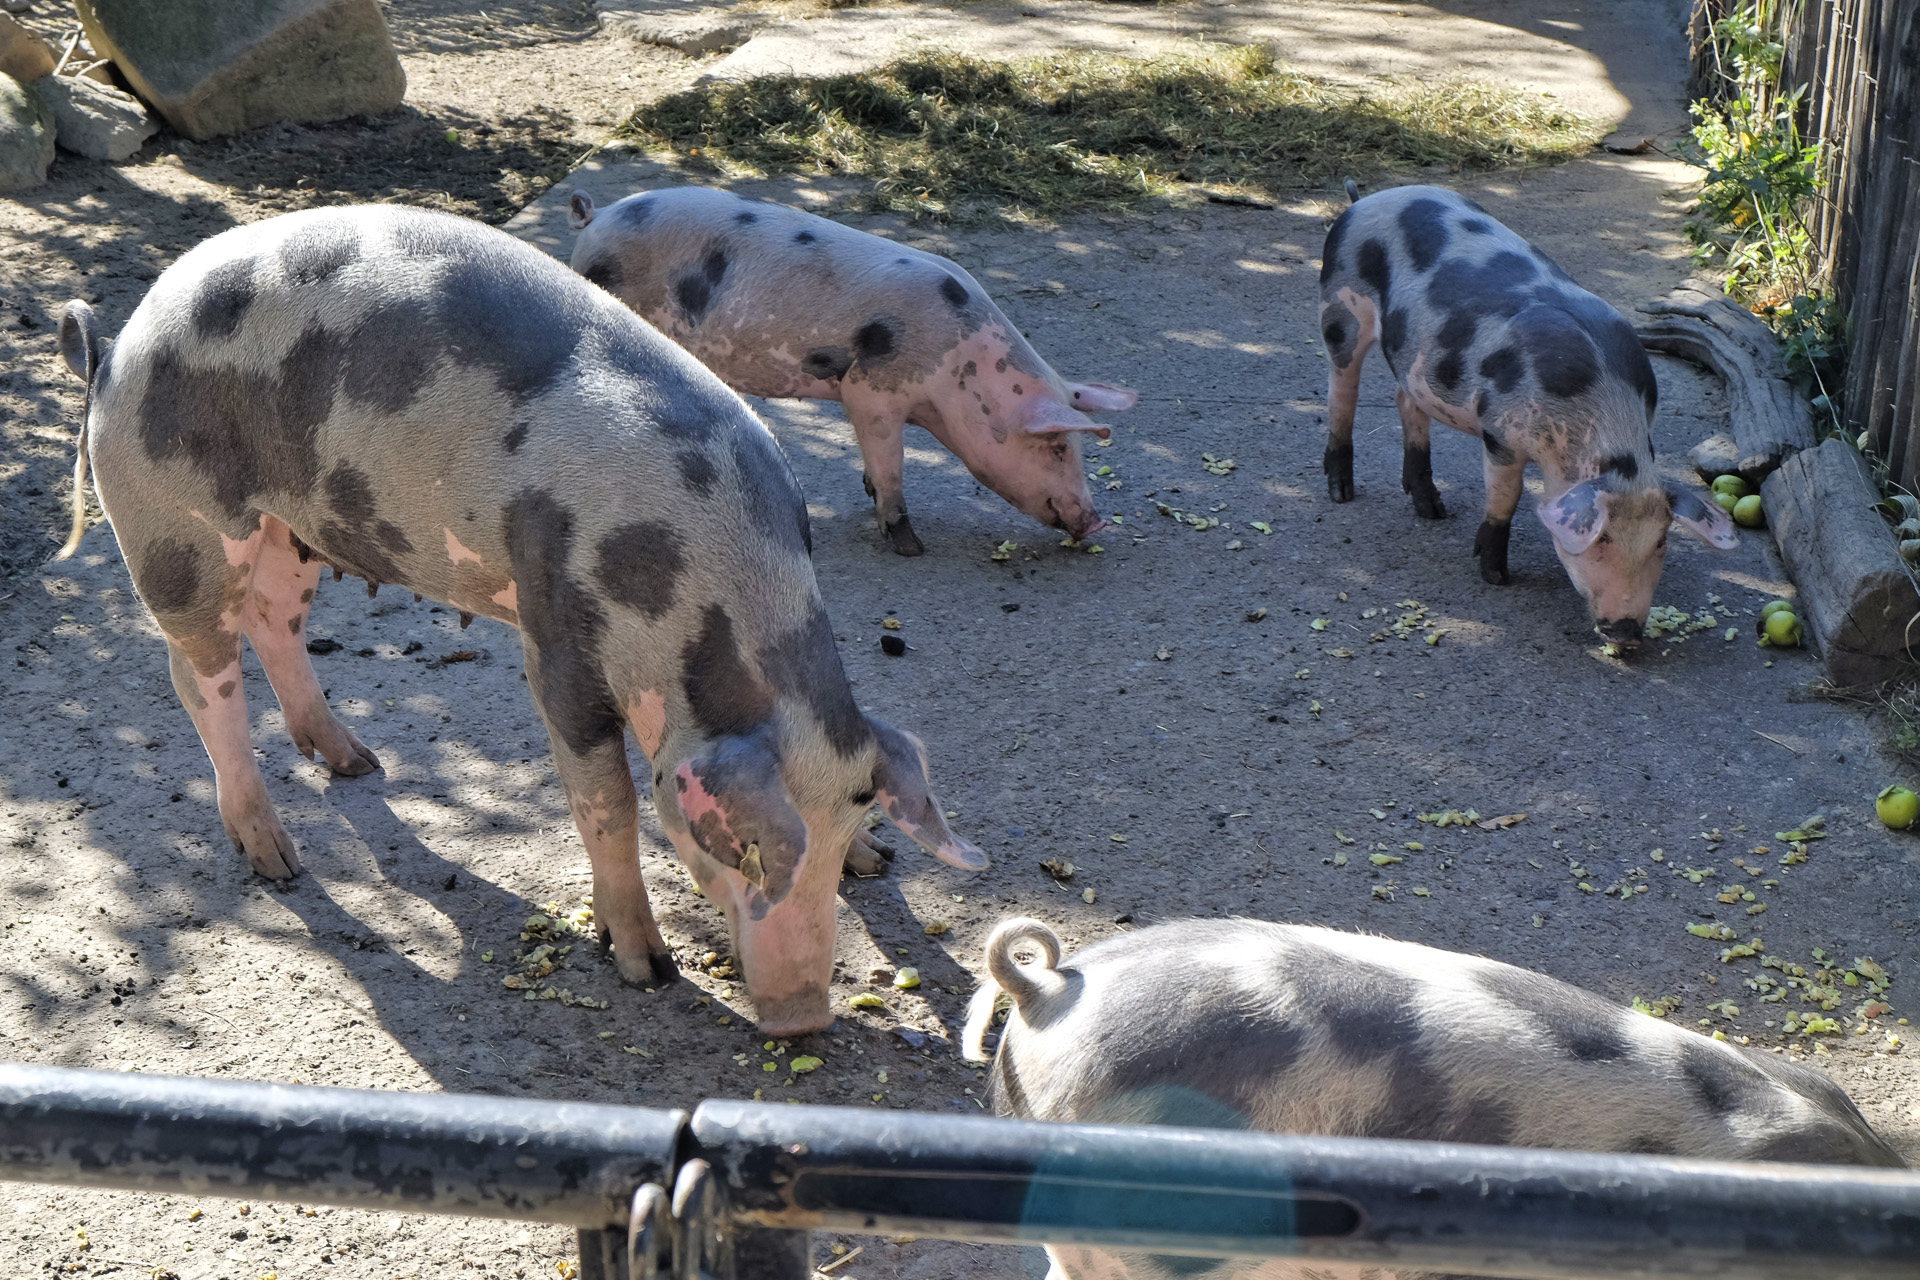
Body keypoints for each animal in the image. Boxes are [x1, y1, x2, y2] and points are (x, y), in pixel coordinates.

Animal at [53, 204, 987, 1034]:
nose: (802, 1020)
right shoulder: (558, 635)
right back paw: (279, 862)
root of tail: (113, 351)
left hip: (296, 528)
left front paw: (877, 866)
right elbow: (605, 799)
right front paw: (647, 969)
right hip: (173, 529)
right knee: (200, 675)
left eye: (845, 829)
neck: (692, 587)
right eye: (742, 850)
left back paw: (357, 762)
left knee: (277, 624)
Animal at [566, 185, 1137, 556]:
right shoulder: (872, 389)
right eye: (1057, 447)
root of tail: (596, 218)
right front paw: (909, 546)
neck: (961, 369)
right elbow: (891, 463)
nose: (1097, 523)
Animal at [1318, 182, 1738, 649]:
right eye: (1603, 538)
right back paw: (1341, 493)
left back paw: (1433, 510)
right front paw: (1496, 576)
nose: (1626, 633)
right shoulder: (1500, 434)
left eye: (1661, 542)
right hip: (1339, 306)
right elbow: (1508, 498)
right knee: (1342, 391)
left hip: (1417, 364)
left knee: (1404, 399)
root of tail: (1365, 200)